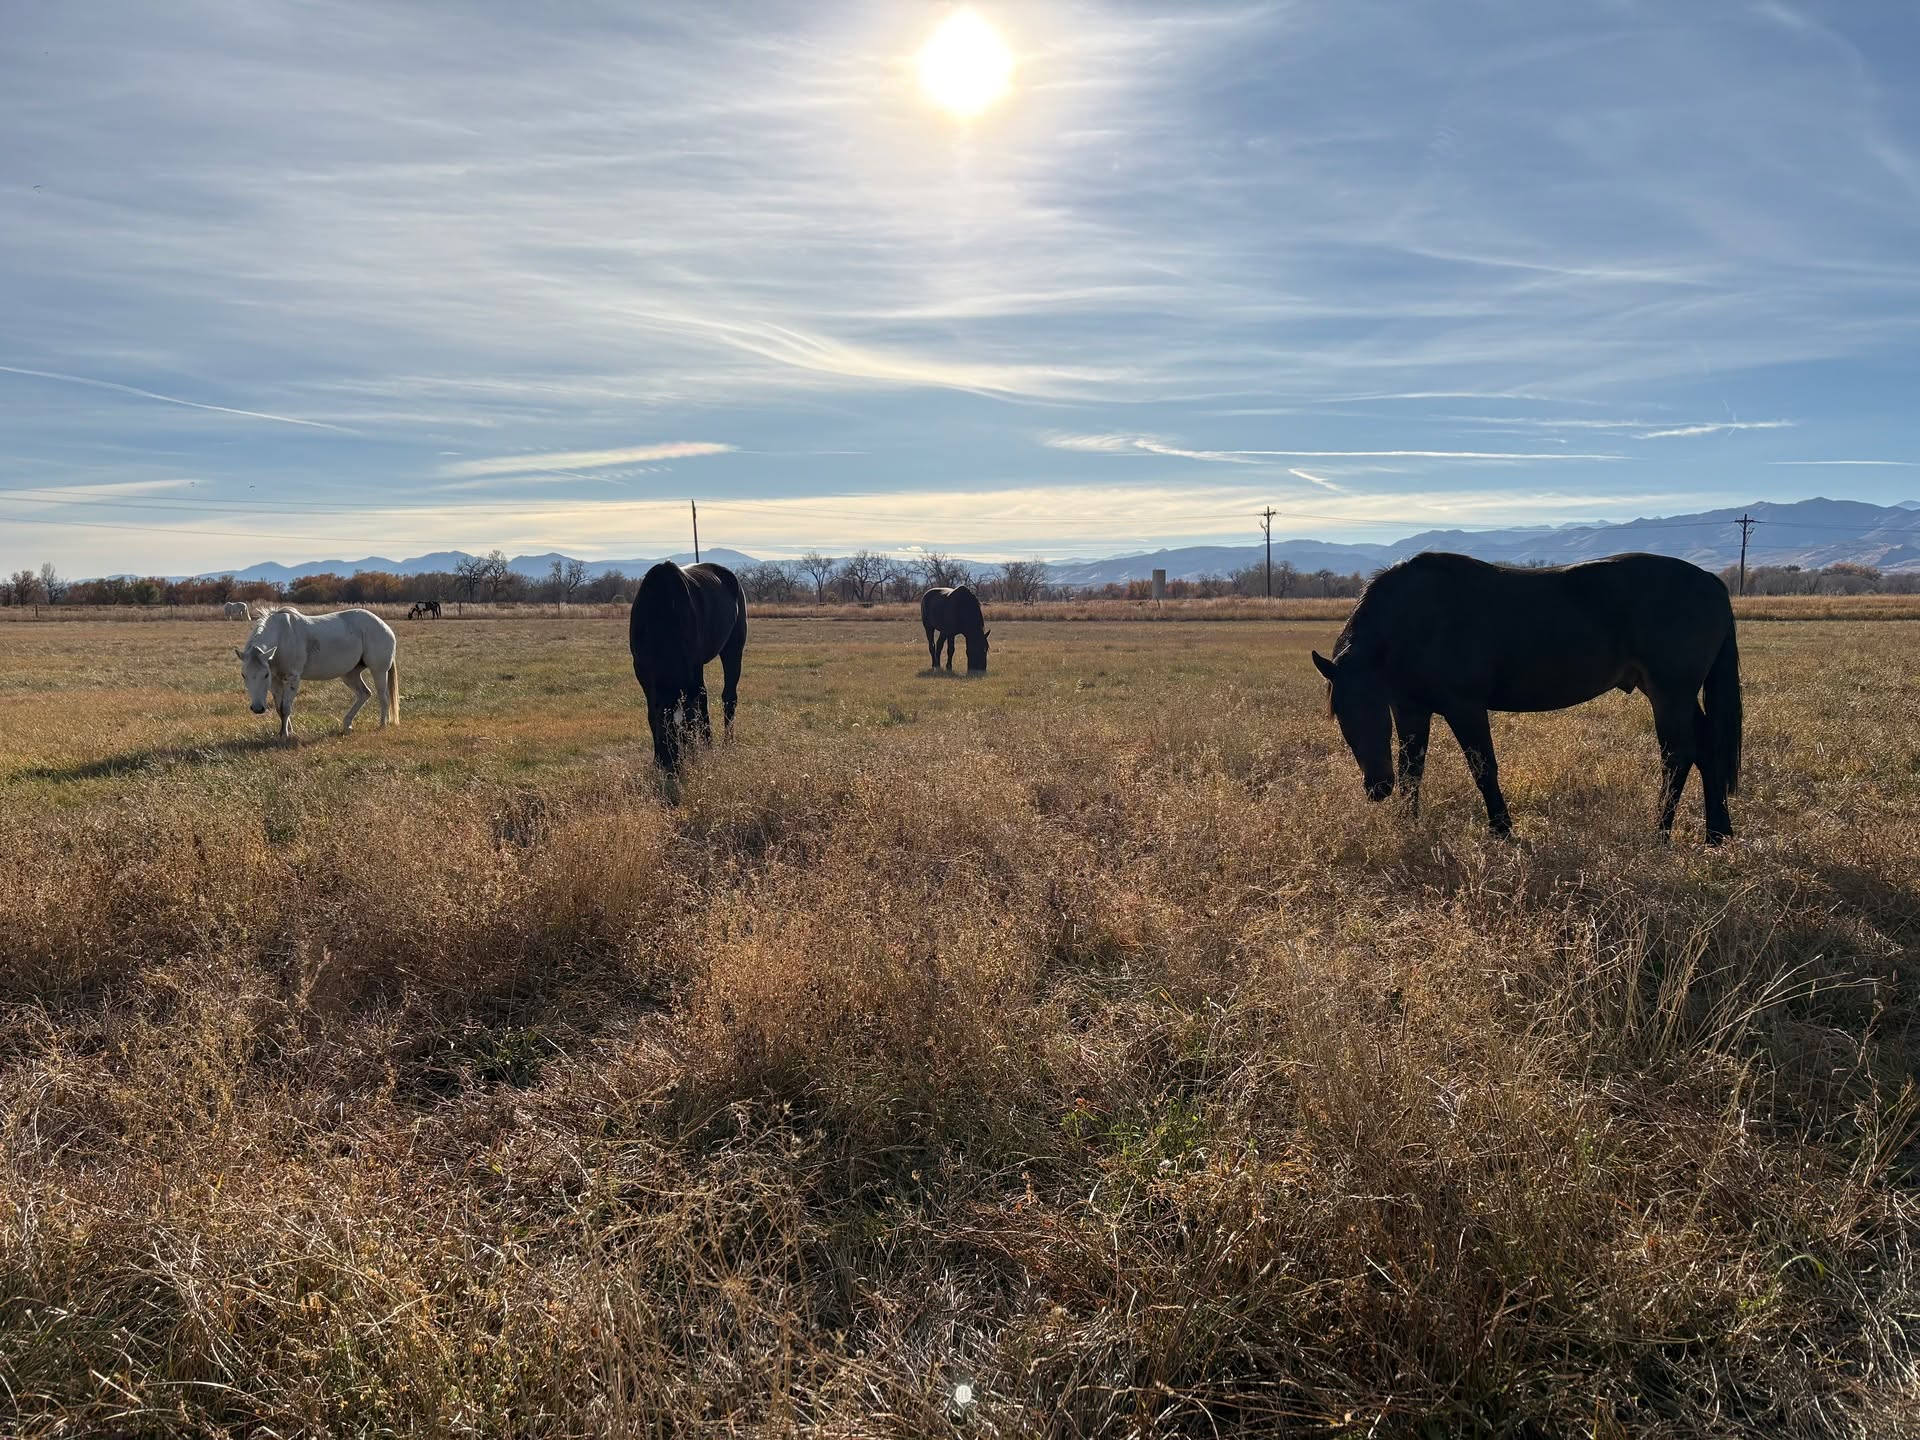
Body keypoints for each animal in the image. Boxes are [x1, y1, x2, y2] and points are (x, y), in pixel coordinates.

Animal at [236, 607, 400, 740]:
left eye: (265, 675)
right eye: (244, 675)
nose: (257, 709)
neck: (282, 637)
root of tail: (385, 626)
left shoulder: (292, 679)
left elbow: (286, 708)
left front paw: (285, 735)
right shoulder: (276, 680)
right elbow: (279, 709)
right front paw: (286, 732)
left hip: (379, 671)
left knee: (383, 698)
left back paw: (382, 725)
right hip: (350, 674)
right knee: (364, 694)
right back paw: (347, 724)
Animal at [628, 561, 747, 769]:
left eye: (678, 735)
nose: (668, 765)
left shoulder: (690, 668)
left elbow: (691, 714)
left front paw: (694, 753)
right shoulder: (643, 672)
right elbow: (652, 714)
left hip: (732, 649)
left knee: (728, 697)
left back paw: (727, 743)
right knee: (704, 698)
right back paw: (708, 743)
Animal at [1312, 552, 1741, 843]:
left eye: (1371, 711)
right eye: (1344, 720)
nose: (1377, 788)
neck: (1417, 619)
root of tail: (1711, 582)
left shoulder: (1464, 707)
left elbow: (1483, 768)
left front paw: (1502, 831)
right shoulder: (1410, 709)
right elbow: (1412, 770)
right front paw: (1407, 824)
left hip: (1671, 694)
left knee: (1677, 756)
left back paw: (1660, 834)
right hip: (1675, 695)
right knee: (1706, 749)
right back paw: (1716, 834)